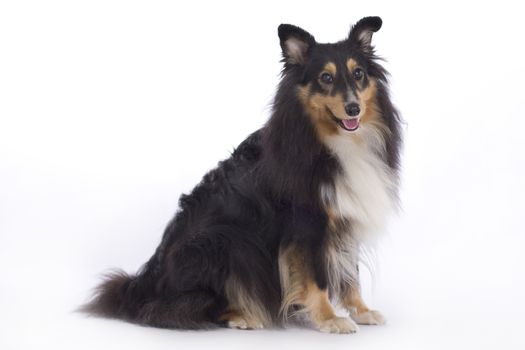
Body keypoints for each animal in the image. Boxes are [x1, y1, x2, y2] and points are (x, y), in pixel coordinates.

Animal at [83, 16, 402, 334]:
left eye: (358, 74)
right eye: (325, 78)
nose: (353, 108)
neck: (331, 140)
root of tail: (142, 286)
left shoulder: (346, 218)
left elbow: (351, 274)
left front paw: (362, 311)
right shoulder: (307, 223)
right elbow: (316, 277)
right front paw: (329, 318)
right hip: (224, 242)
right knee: (187, 307)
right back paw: (242, 315)